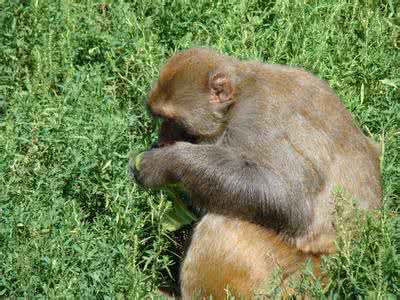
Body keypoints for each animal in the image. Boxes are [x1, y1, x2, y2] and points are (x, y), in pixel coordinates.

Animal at [130, 48, 382, 298]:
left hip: (294, 277)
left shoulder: (257, 121)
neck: (240, 93)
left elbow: (288, 200)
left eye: (173, 121)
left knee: (222, 224)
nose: (162, 139)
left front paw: (166, 162)